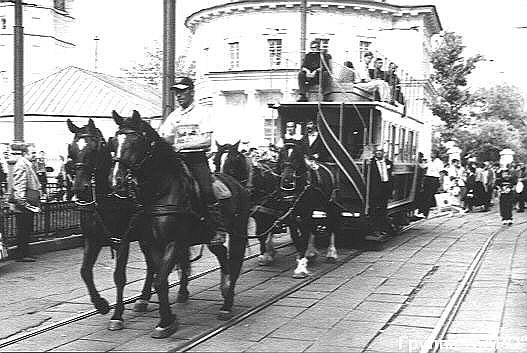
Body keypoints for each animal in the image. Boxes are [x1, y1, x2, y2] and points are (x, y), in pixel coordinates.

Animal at [109, 110, 250, 338]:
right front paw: (168, 319)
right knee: (222, 256)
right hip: (210, 237)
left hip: (238, 231)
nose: (116, 180)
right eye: (114, 142)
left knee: (235, 263)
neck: (161, 191)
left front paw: (165, 322)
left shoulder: (173, 242)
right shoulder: (151, 242)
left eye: (135, 142)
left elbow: (160, 279)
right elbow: (160, 279)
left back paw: (227, 306)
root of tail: (236, 182)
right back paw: (224, 288)